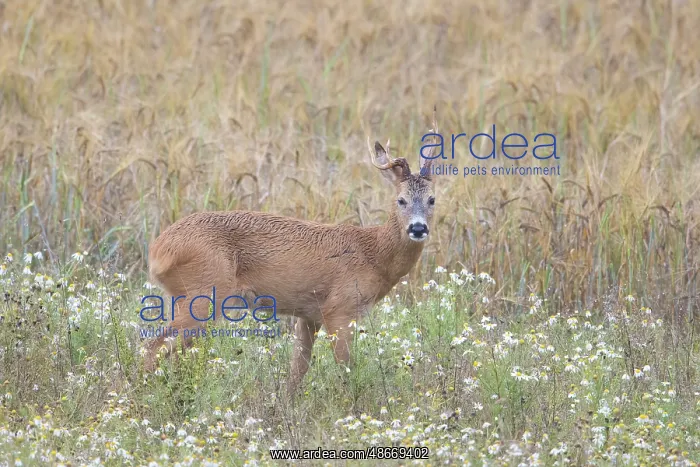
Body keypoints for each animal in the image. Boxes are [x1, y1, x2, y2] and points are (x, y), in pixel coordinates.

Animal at [143, 111, 440, 394]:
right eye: (400, 200)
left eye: (432, 199)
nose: (417, 228)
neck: (374, 254)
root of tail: (158, 249)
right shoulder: (339, 309)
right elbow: (346, 369)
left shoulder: (309, 315)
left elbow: (298, 370)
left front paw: (286, 403)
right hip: (204, 293)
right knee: (153, 346)